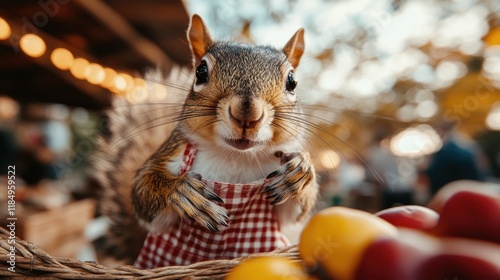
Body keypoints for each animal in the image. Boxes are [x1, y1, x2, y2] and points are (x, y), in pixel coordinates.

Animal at [93, 14, 318, 266]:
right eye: (200, 71)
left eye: (292, 81)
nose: (247, 114)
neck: (234, 156)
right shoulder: (172, 153)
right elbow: (142, 194)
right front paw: (180, 191)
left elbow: (295, 213)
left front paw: (301, 170)